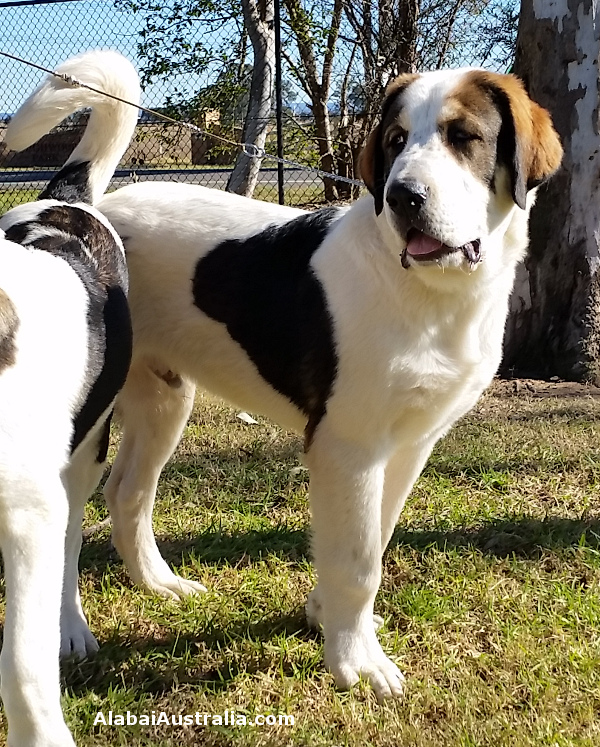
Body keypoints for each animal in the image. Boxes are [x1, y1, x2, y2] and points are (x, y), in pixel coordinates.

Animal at [9, 57, 564, 700]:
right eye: (396, 141)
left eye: (464, 137)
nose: (403, 197)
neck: (430, 294)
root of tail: (71, 205)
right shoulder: (347, 447)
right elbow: (357, 562)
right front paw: (356, 663)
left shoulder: (410, 445)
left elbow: (372, 538)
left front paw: (330, 619)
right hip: (85, 427)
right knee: (69, 525)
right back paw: (68, 633)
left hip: (166, 401)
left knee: (127, 493)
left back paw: (159, 583)